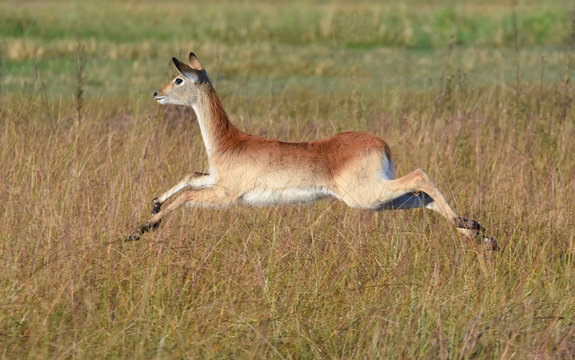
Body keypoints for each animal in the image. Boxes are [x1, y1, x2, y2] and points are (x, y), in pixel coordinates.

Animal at [128, 52, 498, 250]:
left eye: (179, 79)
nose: (155, 93)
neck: (228, 143)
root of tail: (381, 144)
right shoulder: (215, 178)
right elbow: (191, 176)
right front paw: (153, 205)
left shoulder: (227, 194)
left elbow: (188, 196)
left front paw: (141, 230)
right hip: (379, 199)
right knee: (423, 197)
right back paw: (479, 234)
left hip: (366, 195)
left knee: (421, 176)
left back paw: (475, 229)